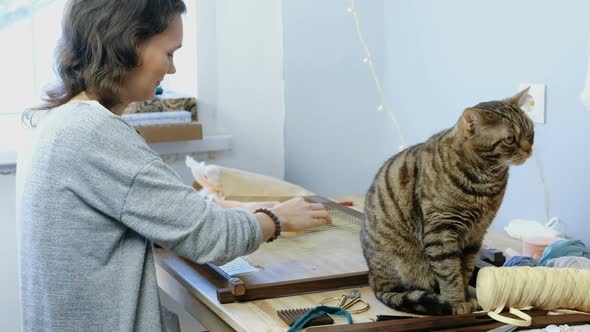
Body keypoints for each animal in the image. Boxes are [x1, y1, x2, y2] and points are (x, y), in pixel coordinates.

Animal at [364, 89, 540, 316]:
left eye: (530, 133)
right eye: (510, 138)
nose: (529, 150)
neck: (485, 179)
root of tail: (374, 280)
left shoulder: (475, 234)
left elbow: (464, 271)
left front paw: (466, 297)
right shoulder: (441, 232)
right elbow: (449, 272)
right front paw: (456, 302)